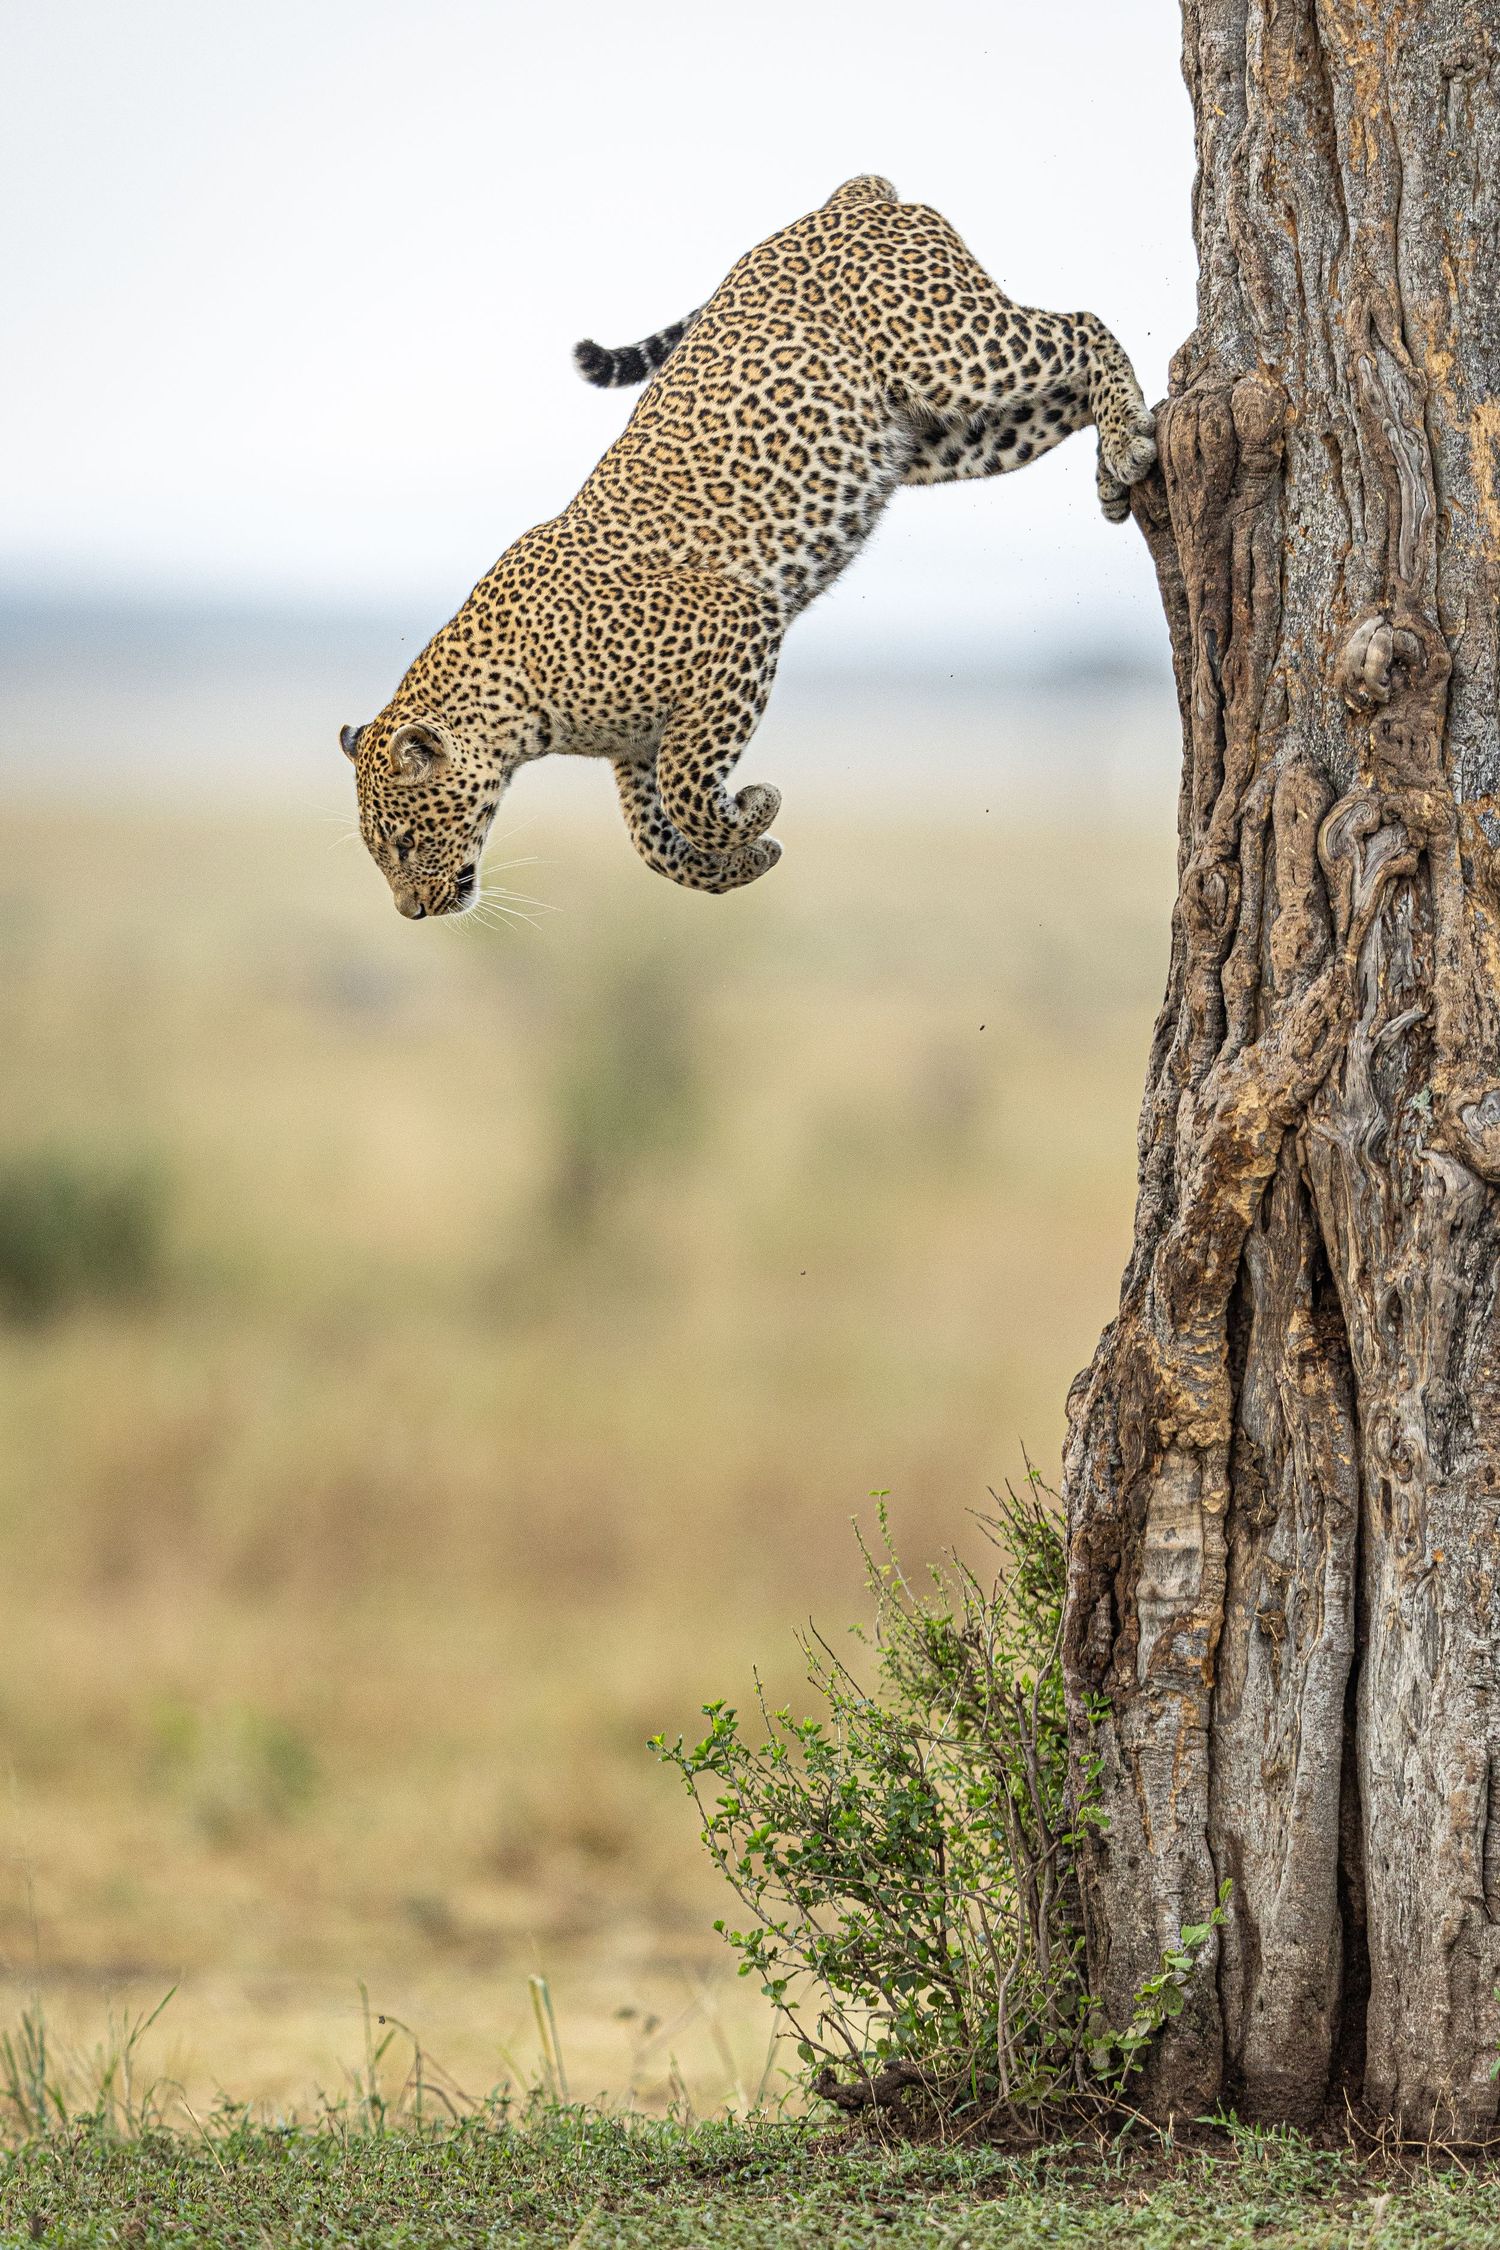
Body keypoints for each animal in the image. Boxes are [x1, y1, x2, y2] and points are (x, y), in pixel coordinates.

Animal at [342, 176, 1156, 916]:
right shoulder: (635, 746)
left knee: (1082, 325)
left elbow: (687, 789)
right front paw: (741, 860)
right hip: (947, 434)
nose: (410, 911)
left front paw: (752, 811)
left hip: (956, 351)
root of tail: (846, 197)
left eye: (403, 843)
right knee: (1064, 390)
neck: (514, 706)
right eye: (382, 853)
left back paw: (1130, 446)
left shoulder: (737, 622)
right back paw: (1112, 472)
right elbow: (653, 840)